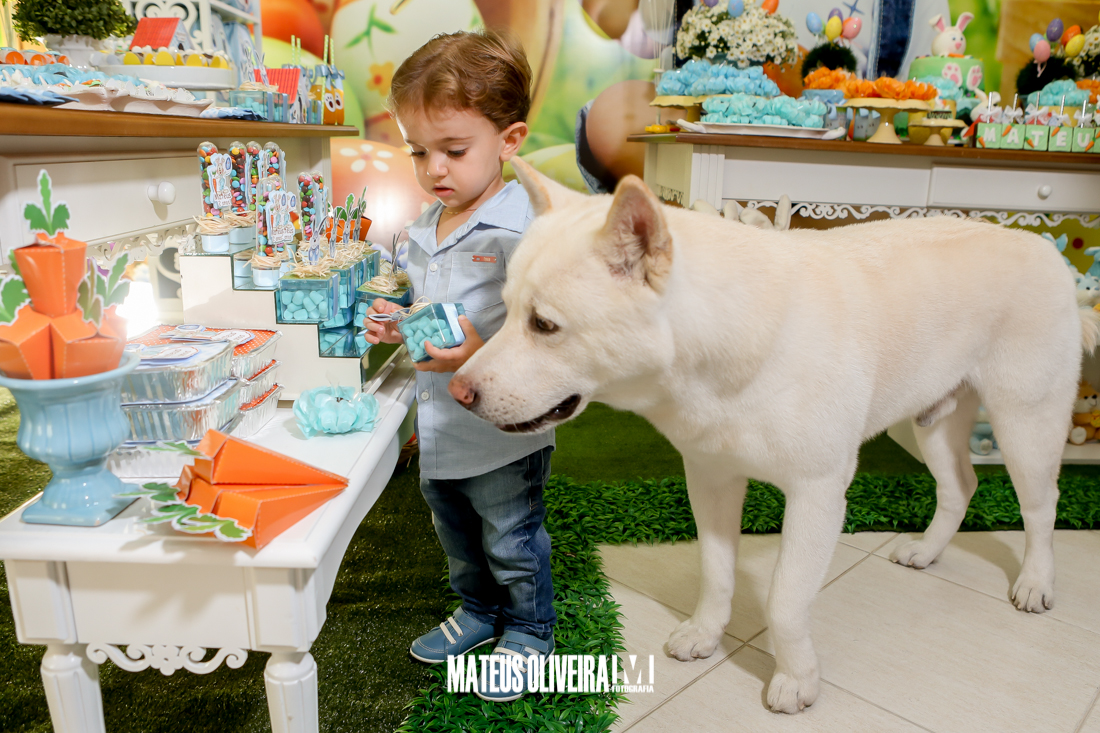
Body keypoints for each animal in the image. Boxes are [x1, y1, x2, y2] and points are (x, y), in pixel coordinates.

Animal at [448, 158, 1099, 713]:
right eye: (507, 311)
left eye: (545, 325)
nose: (458, 390)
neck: (726, 349)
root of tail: (1045, 251)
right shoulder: (709, 478)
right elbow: (716, 571)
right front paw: (706, 633)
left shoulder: (817, 494)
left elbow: (786, 601)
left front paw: (796, 679)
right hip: (932, 421)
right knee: (960, 486)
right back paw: (929, 550)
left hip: (1025, 425)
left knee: (1041, 507)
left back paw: (1036, 583)